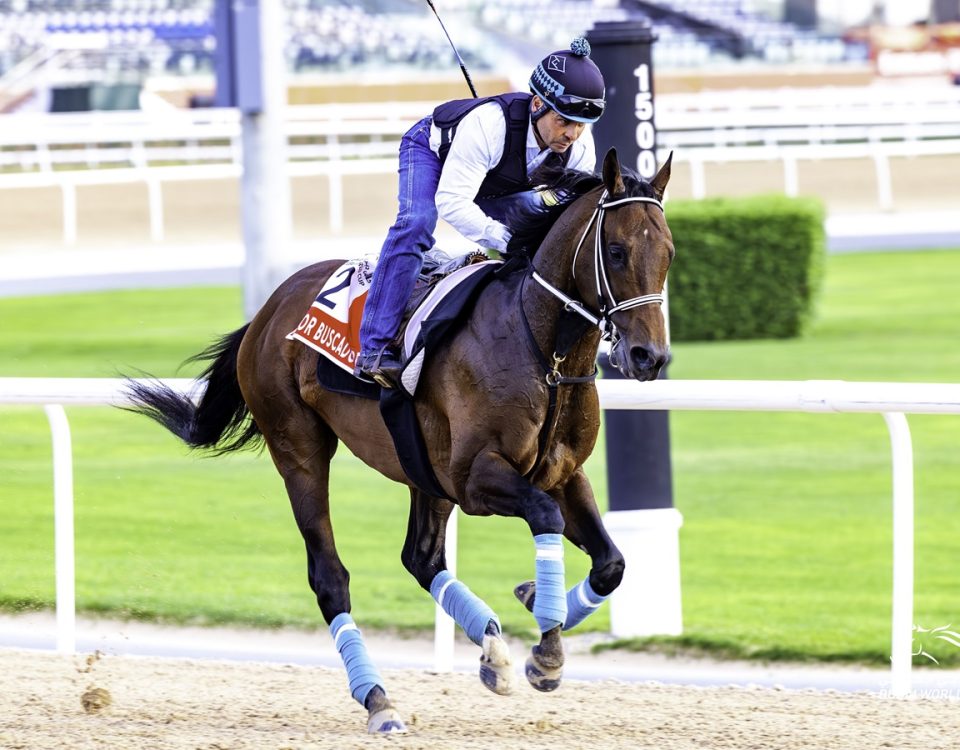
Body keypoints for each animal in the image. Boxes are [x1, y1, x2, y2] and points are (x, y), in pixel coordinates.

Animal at [124, 150, 672, 736]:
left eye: (668, 252)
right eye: (616, 251)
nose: (649, 356)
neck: (544, 353)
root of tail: (269, 309)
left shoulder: (561, 472)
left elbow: (611, 563)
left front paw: (533, 607)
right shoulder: (476, 478)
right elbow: (544, 516)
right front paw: (545, 650)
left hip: (422, 469)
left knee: (422, 558)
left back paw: (491, 649)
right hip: (299, 449)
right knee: (330, 577)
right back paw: (378, 699)